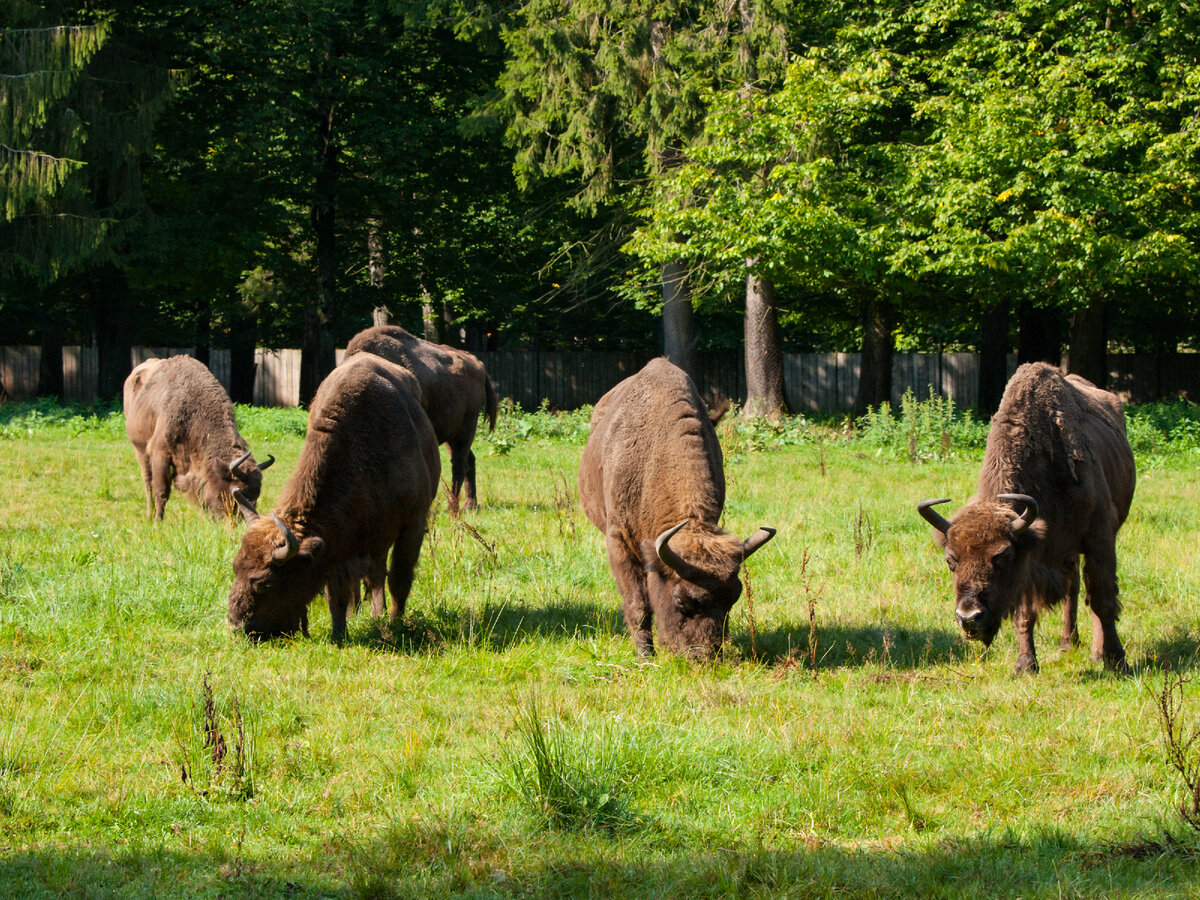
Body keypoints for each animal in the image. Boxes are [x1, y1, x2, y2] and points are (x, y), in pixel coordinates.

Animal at [123, 355, 274, 520]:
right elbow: (161, 491)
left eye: (257, 494)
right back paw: (150, 516)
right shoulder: (160, 453)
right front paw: (158, 521)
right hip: (141, 450)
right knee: (148, 483)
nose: (239, 519)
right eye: (239, 491)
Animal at [225, 352, 441, 643]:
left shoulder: (412, 525)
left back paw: (380, 614)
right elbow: (336, 591)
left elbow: (399, 578)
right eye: (235, 566)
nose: (237, 626)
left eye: (268, 582)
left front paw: (395, 623)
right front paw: (340, 632)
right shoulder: (338, 544)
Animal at [343, 326, 496, 513]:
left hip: (466, 430)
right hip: (452, 435)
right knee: (469, 461)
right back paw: (470, 505)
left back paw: (453, 506)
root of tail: (478, 363)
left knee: (459, 465)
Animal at [578, 360, 777, 662]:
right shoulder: (618, 540)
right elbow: (637, 603)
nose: (704, 656)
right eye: (682, 601)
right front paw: (645, 656)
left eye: (734, 597)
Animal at [916, 362, 1132, 672]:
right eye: (950, 561)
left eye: (1003, 557)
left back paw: (1096, 652)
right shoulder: (1032, 561)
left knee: (1090, 595)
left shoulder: (1099, 537)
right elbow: (1025, 613)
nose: (969, 618)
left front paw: (1117, 661)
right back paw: (1067, 643)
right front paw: (1025, 665)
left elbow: (1103, 600)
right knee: (1073, 588)